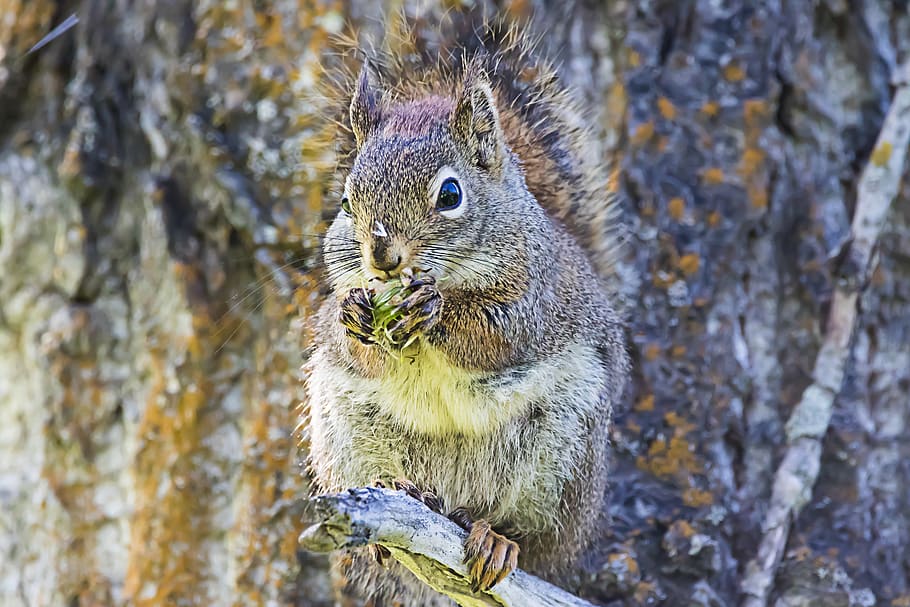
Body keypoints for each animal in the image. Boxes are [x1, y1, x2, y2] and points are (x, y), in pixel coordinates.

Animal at [304, 15, 629, 606]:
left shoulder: (535, 298)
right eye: (345, 201)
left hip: (560, 463)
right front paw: (357, 316)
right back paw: (405, 495)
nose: (382, 256)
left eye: (451, 194)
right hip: (345, 438)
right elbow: (353, 344)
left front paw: (436, 313)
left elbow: (494, 339)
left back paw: (497, 539)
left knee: (530, 535)